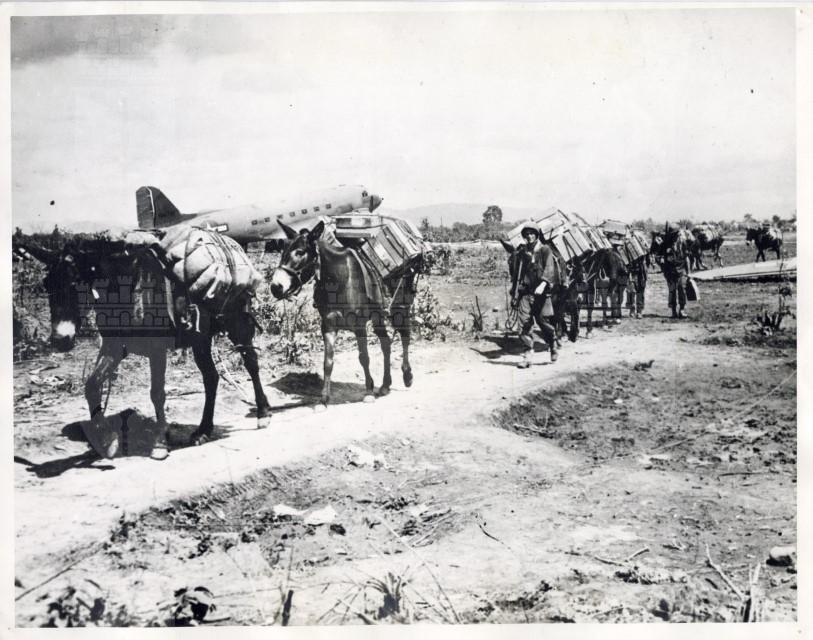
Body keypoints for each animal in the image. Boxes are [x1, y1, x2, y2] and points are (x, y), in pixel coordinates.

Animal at [17, 236, 271, 460]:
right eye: (46, 285)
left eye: (76, 282)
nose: (61, 339)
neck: (126, 290)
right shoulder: (113, 346)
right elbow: (92, 386)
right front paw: (107, 442)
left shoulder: (156, 349)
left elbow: (157, 394)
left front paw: (159, 444)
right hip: (200, 339)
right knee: (211, 377)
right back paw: (203, 430)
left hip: (238, 324)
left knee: (251, 363)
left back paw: (263, 413)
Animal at [269, 221, 419, 406]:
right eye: (282, 252)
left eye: (300, 252)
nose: (275, 287)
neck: (338, 279)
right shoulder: (328, 325)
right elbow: (328, 361)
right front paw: (324, 399)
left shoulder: (359, 325)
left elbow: (364, 357)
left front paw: (368, 391)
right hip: (377, 317)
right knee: (386, 344)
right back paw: (385, 385)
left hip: (400, 310)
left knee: (405, 337)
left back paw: (407, 376)